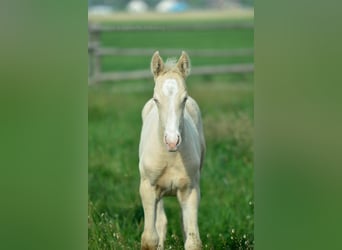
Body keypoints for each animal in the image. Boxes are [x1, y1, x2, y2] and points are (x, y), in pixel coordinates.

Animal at [139, 51, 206, 250]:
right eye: (156, 99)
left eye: (184, 99)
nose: (171, 141)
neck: (170, 157)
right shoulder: (147, 188)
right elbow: (149, 239)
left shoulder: (191, 190)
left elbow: (193, 241)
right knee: (161, 222)